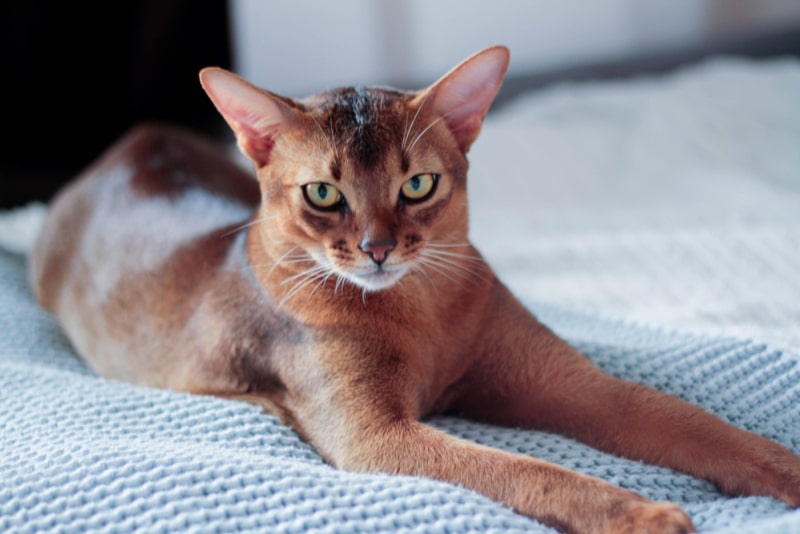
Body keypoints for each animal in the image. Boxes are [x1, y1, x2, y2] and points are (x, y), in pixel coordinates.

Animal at [29, 46, 800, 534]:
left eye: (418, 184)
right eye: (323, 194)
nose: (376, 249)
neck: (423, 313)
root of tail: (134, 139)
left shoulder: (575, 384)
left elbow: (690, 422)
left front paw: (786, 470)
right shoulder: (377, 438)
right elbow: (529, 471)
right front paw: (642, 514)